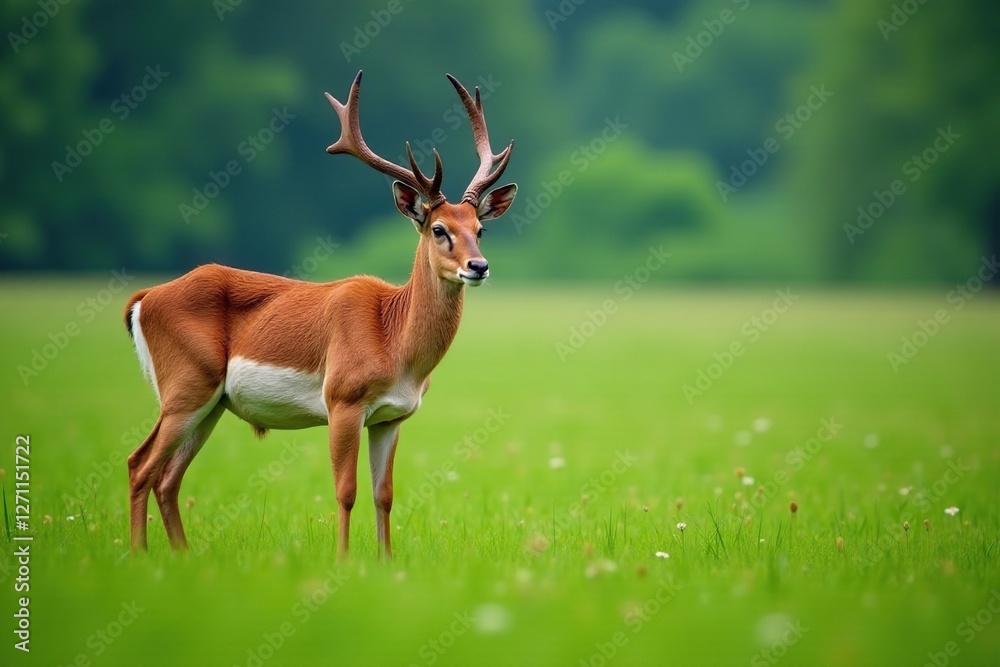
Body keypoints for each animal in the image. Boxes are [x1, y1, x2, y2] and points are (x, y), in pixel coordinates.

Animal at [123, 71, 517, 557]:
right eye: (439, 229)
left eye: (480, 229)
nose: (478, 266)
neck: (394, 341)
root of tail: (143, 299)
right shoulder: (342, 401)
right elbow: (345, 491)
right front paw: (344, 561)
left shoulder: (391, 417)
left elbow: (384, 495)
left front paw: (387, 562)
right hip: (185, 386)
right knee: (140, 465)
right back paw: (139, 556)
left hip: (210, 403)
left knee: (167, 478)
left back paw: (181, 555)